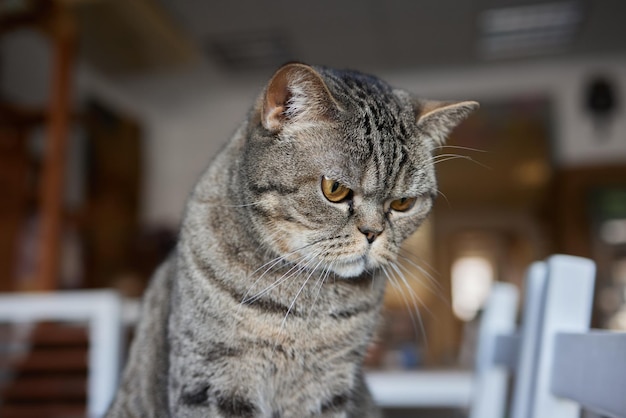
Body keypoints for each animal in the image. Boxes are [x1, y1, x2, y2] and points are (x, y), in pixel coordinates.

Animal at [106, 62, 478, 418]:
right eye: (334, 189)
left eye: (403, 203)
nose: (373, 233)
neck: (306, 304)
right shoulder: (213, 377)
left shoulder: (328, 385)